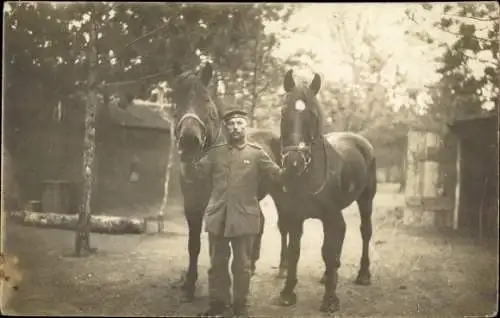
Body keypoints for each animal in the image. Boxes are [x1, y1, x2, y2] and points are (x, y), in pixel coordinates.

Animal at [172, 62, 290, 304]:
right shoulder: (192, 206)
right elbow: (194, 246)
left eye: (206, 100)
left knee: (283, 226)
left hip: (280, 194)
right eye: (175, 99)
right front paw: (189, 285)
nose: (189, 141)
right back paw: (252, 265)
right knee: (260, 223)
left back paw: (282, 268)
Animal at [276, 70, 376, 314]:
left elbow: (329, 252)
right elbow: (294, 251)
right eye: (283, 112)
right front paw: (287, 293)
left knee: (365, 232)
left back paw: (363, 275)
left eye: (312, 114)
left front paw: (330, 299)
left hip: (366, 200)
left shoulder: (331, 216)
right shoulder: (295, 217)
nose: (294, 162)